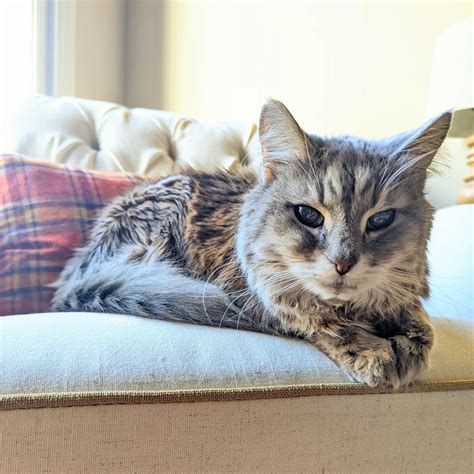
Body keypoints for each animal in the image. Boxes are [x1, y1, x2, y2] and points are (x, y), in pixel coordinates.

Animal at [51, 99, 452, 388]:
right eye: (309, 215)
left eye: (380, 220)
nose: (342, 263)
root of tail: (78, 272)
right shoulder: (256, 294)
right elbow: (318, 319)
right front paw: (376, 354)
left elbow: (420, 322)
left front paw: (408, 346)